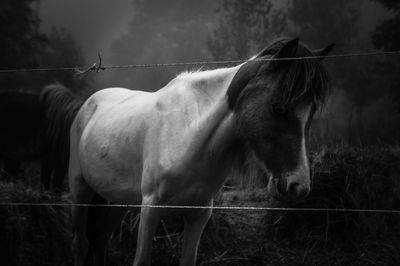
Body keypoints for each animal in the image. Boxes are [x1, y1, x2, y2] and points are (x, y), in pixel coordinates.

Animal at [69, 38, 334, 266]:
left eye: (311, 112)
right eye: (278, 107)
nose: (299, 187)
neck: (192, 134)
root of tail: (89, 103)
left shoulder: (199, 214)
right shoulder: (151, 208)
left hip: (118, 201)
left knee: (100, 243)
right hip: (80, 189)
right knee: (81, 244)